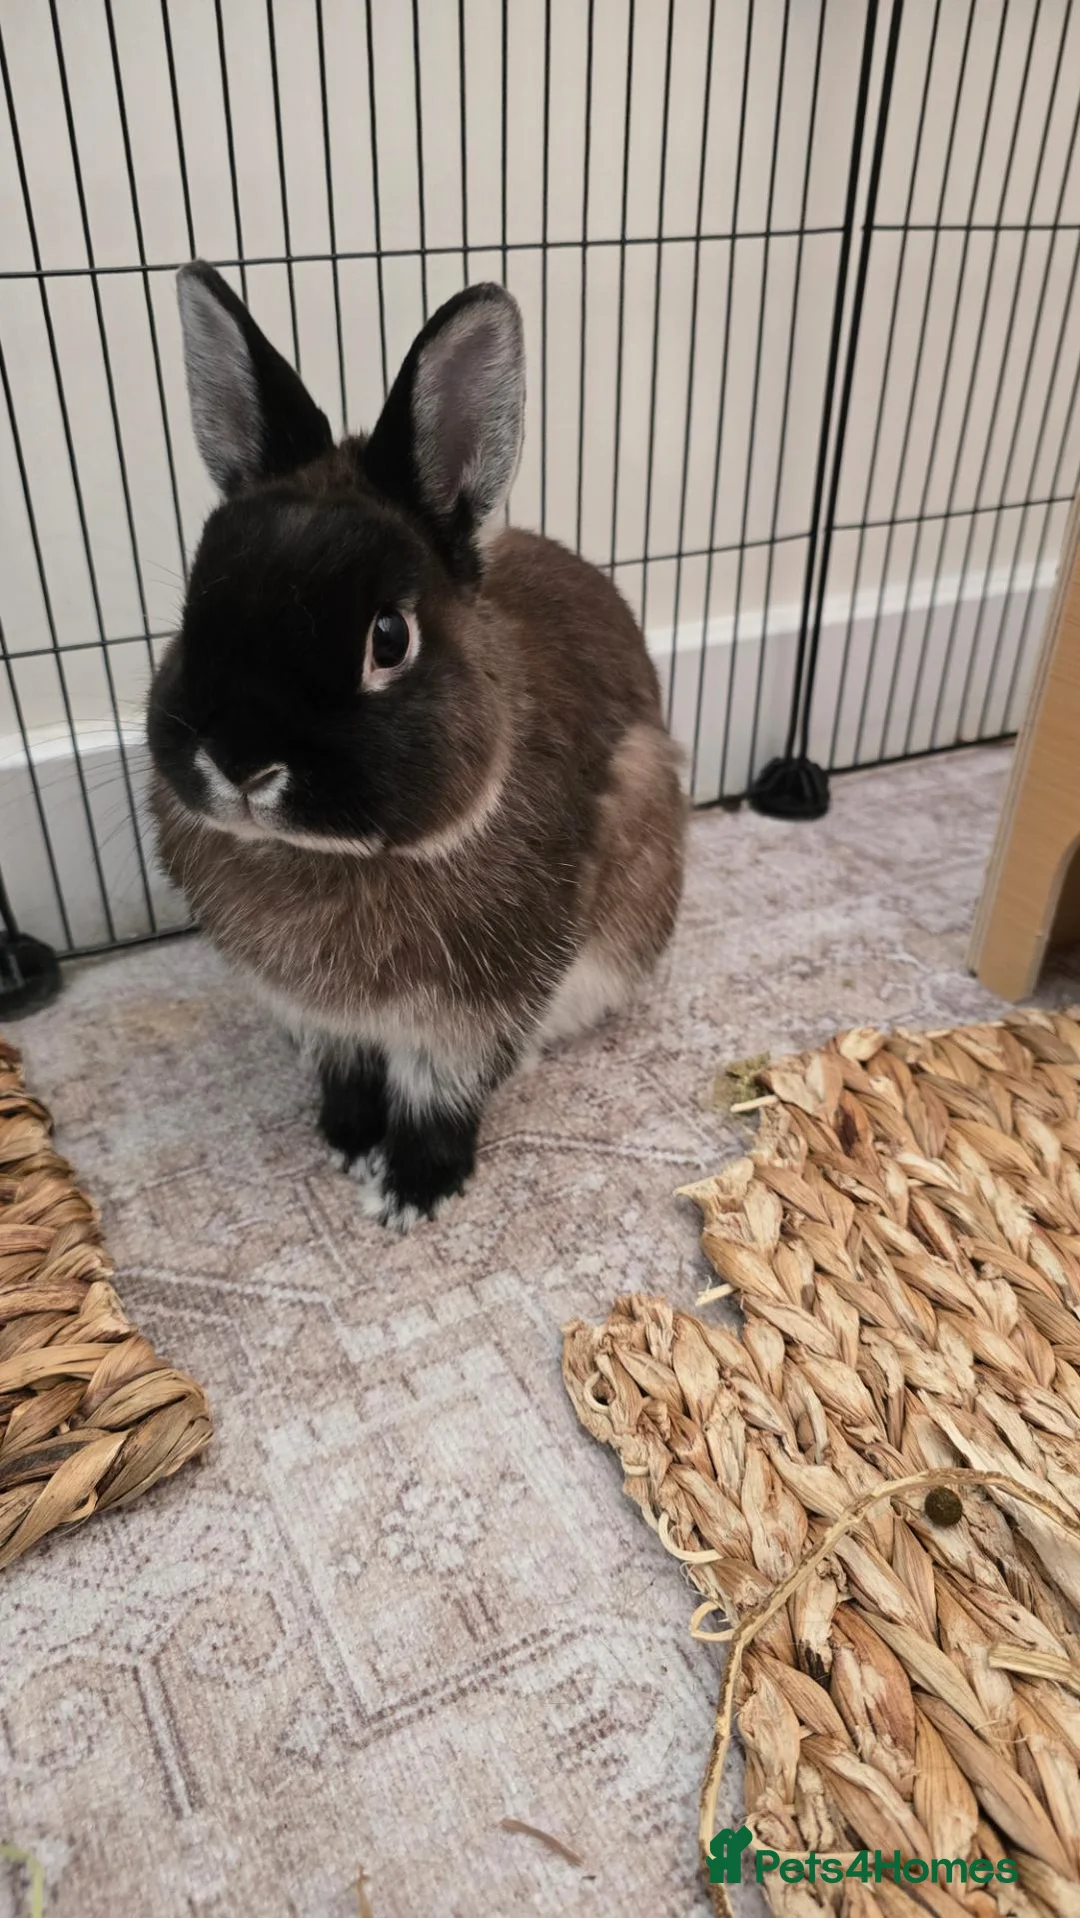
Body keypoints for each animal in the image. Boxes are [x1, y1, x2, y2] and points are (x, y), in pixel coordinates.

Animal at [148, 262, 686, 1230]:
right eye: (193, 609)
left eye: (389, 639)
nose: (242, 764)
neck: (328, 858)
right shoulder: (322, 1019)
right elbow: (346, 1073)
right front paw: (347, 1139)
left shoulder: (475, 1009)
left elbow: (444, 1090)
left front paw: (411, 1189)